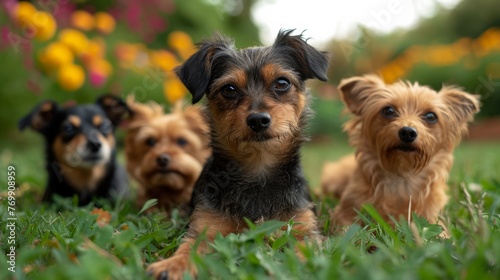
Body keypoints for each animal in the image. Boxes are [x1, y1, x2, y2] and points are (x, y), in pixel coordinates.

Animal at [146, 29, 330, 278]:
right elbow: (188, 248)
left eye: (282, 83)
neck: (257, 169)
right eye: (229, 89)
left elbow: (306, 250)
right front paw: (172, 265)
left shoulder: (304, 229)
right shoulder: (205, 227)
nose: (258, 120)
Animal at [324, 73, 480, 233]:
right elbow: (347, 230)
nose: (407, 132)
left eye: (431, 116)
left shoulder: (431, 217)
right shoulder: (346, 212)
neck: (402, 176)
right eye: (388, 110)